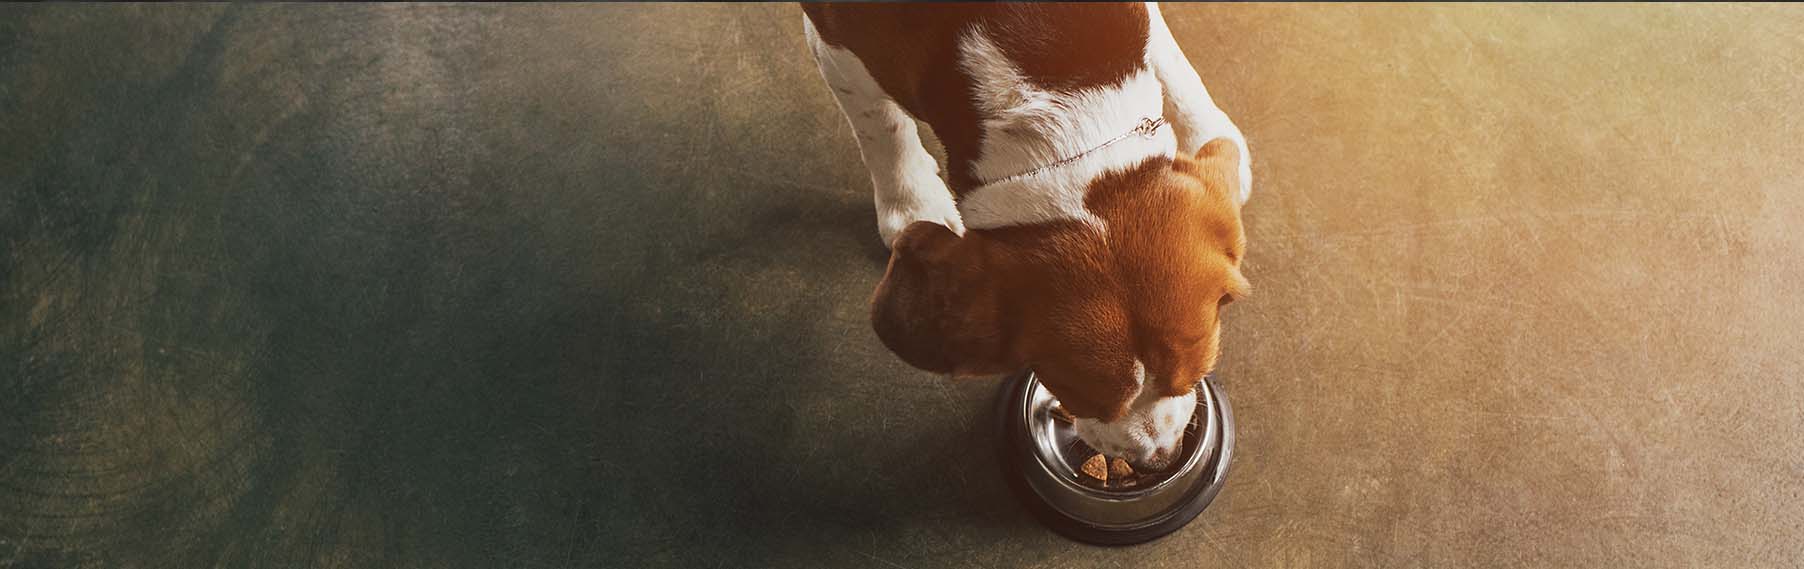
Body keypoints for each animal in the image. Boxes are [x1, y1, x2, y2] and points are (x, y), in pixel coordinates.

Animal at [808, 2, 1255, 469]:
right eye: (1078, 396)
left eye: (1194, 375)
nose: (1161, 459)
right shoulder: (835, 44)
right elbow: (881, 127)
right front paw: (911, 202)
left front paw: (1203, 124)